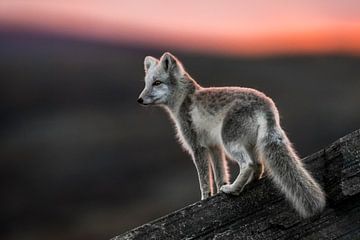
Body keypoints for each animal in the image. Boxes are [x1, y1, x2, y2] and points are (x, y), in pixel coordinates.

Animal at [138, 52, 326, 218]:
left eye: (157, 83)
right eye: (146, 84)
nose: (139, 100)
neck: (183, 99)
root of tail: (267, 104)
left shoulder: (197, 147)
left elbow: (204, 180)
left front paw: (205, 198)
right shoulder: (214, 147)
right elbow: (220, 174)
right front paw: (218, 191)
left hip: (230, 142)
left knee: (248, 164)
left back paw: (233, 189)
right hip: (248, 145)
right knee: (258, 165)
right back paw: (247, 184)